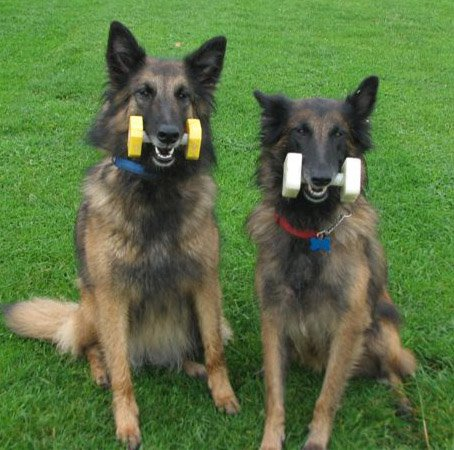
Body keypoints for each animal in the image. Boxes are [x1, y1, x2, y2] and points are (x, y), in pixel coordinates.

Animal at [4, 22, 238, 450]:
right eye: (144, 92)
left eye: (184, 96)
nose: (168, 135)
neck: (155, 188)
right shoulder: (112, 295)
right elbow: (121, 371)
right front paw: (127, 423)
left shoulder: (205, 283)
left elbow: (215, 349)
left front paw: (223, 395)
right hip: (91, 307)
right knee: (91, 348)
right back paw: (101, 371)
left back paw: (189, 364)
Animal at [250, 75, 416, 448]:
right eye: (300, 130)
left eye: (339, 134)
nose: (322, 178)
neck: (311, 228)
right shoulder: (273, 312)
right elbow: (274, 393)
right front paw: (271, 438)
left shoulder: (350, 322)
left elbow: (327, 395)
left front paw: (316, 439)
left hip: (381, 328)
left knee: (395, 370)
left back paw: (403, 403)